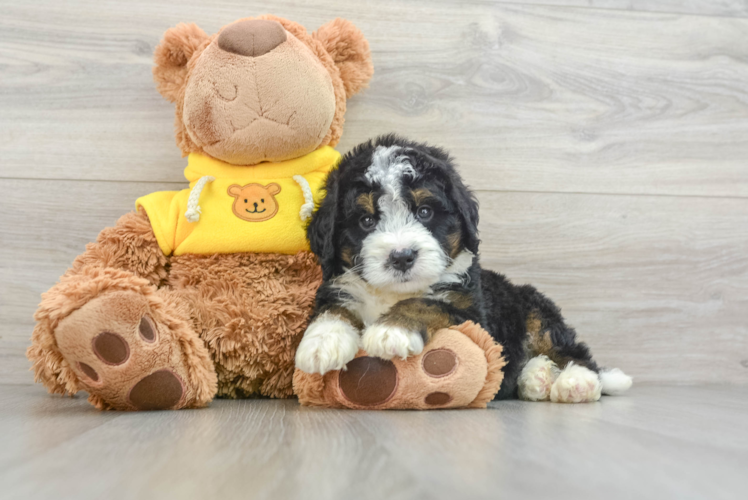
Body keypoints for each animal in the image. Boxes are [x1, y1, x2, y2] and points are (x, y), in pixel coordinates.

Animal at [296, 134, 628, 402]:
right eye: (366, 220)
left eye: (424, 212)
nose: (402, 257)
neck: (394, 292)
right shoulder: (339, 286)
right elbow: (335, 309)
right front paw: (321, 343)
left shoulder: (473, 315)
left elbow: (425, 303)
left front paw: (391, 330)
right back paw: (536, 378)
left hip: (537, 313)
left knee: (574, 352)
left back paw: (576, 382)